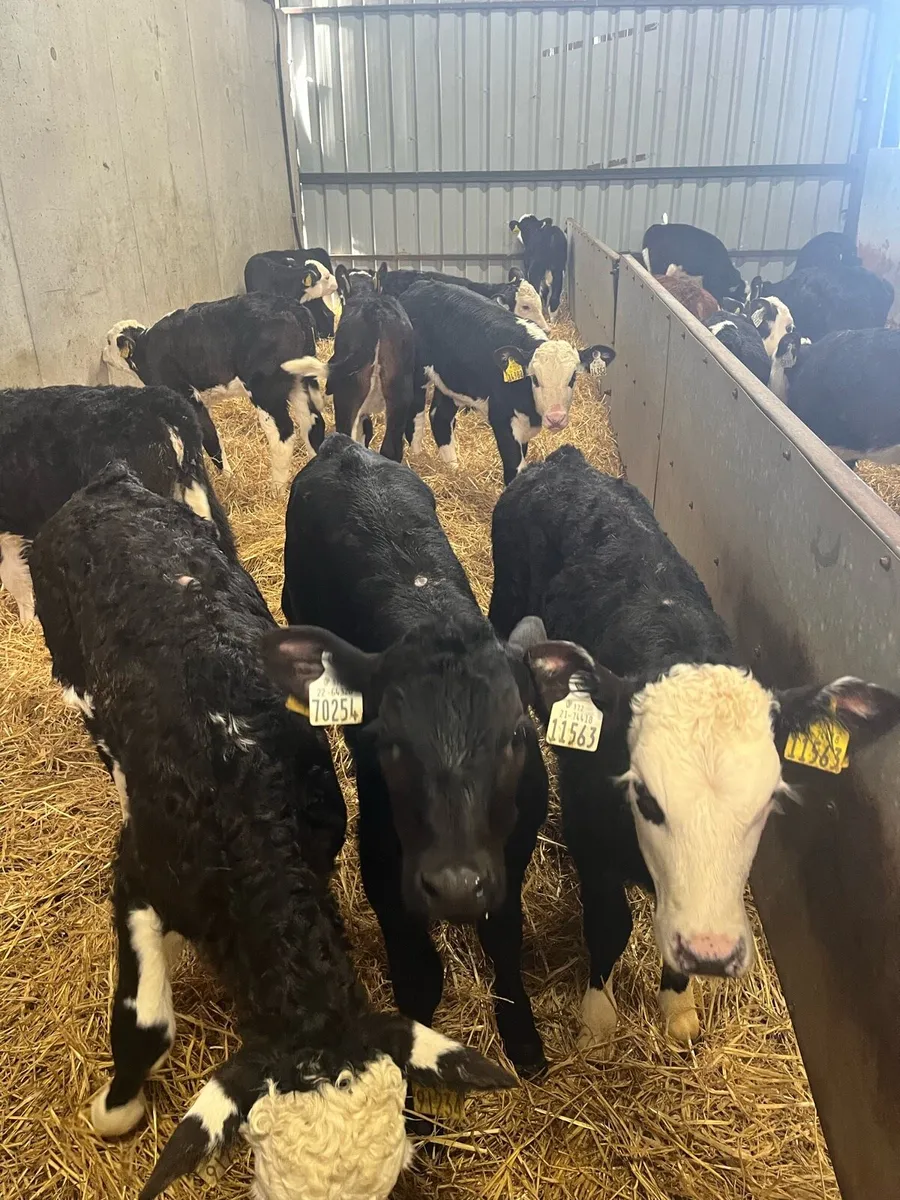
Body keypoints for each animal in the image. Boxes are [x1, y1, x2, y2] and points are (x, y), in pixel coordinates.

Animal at [102, 294, 328, 491]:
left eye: (108, 341)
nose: (102, 354)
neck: (145, 348)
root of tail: (293, 307)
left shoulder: (187, 398)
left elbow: (209, 439)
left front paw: (228, 478)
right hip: (301, 382)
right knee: (312, 423)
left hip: (265, 391)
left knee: (283, 434)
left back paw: (276, 489)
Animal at [398, 280, 614, 485]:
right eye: (534, 378)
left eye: (572, 378)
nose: (556, 418)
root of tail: (421, 285)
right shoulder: (502, 420)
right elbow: (514, 468)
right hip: (417, 376)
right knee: (416, 417)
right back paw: (418, 457)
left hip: (452, 382)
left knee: (440, 417)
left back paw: (452, 468)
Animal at [489, 444, 900, 1050]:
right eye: (645, 796)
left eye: (765, 804)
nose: (711, 953)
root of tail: (564, 460)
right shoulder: (590, 830)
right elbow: (610, 922)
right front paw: (597, 1014)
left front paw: (678, 1002)